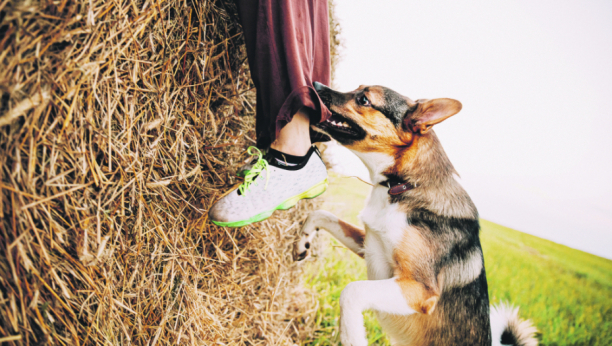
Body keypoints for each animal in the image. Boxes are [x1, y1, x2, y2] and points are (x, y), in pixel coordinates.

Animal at [294, 83, 536, 346]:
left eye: (364, 99)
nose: (315, 86)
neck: (404, 185)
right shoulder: (368, 244)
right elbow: (320, 214)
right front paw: (302, 241)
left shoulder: (419, 289)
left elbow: (352, 291)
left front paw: (351, 337)